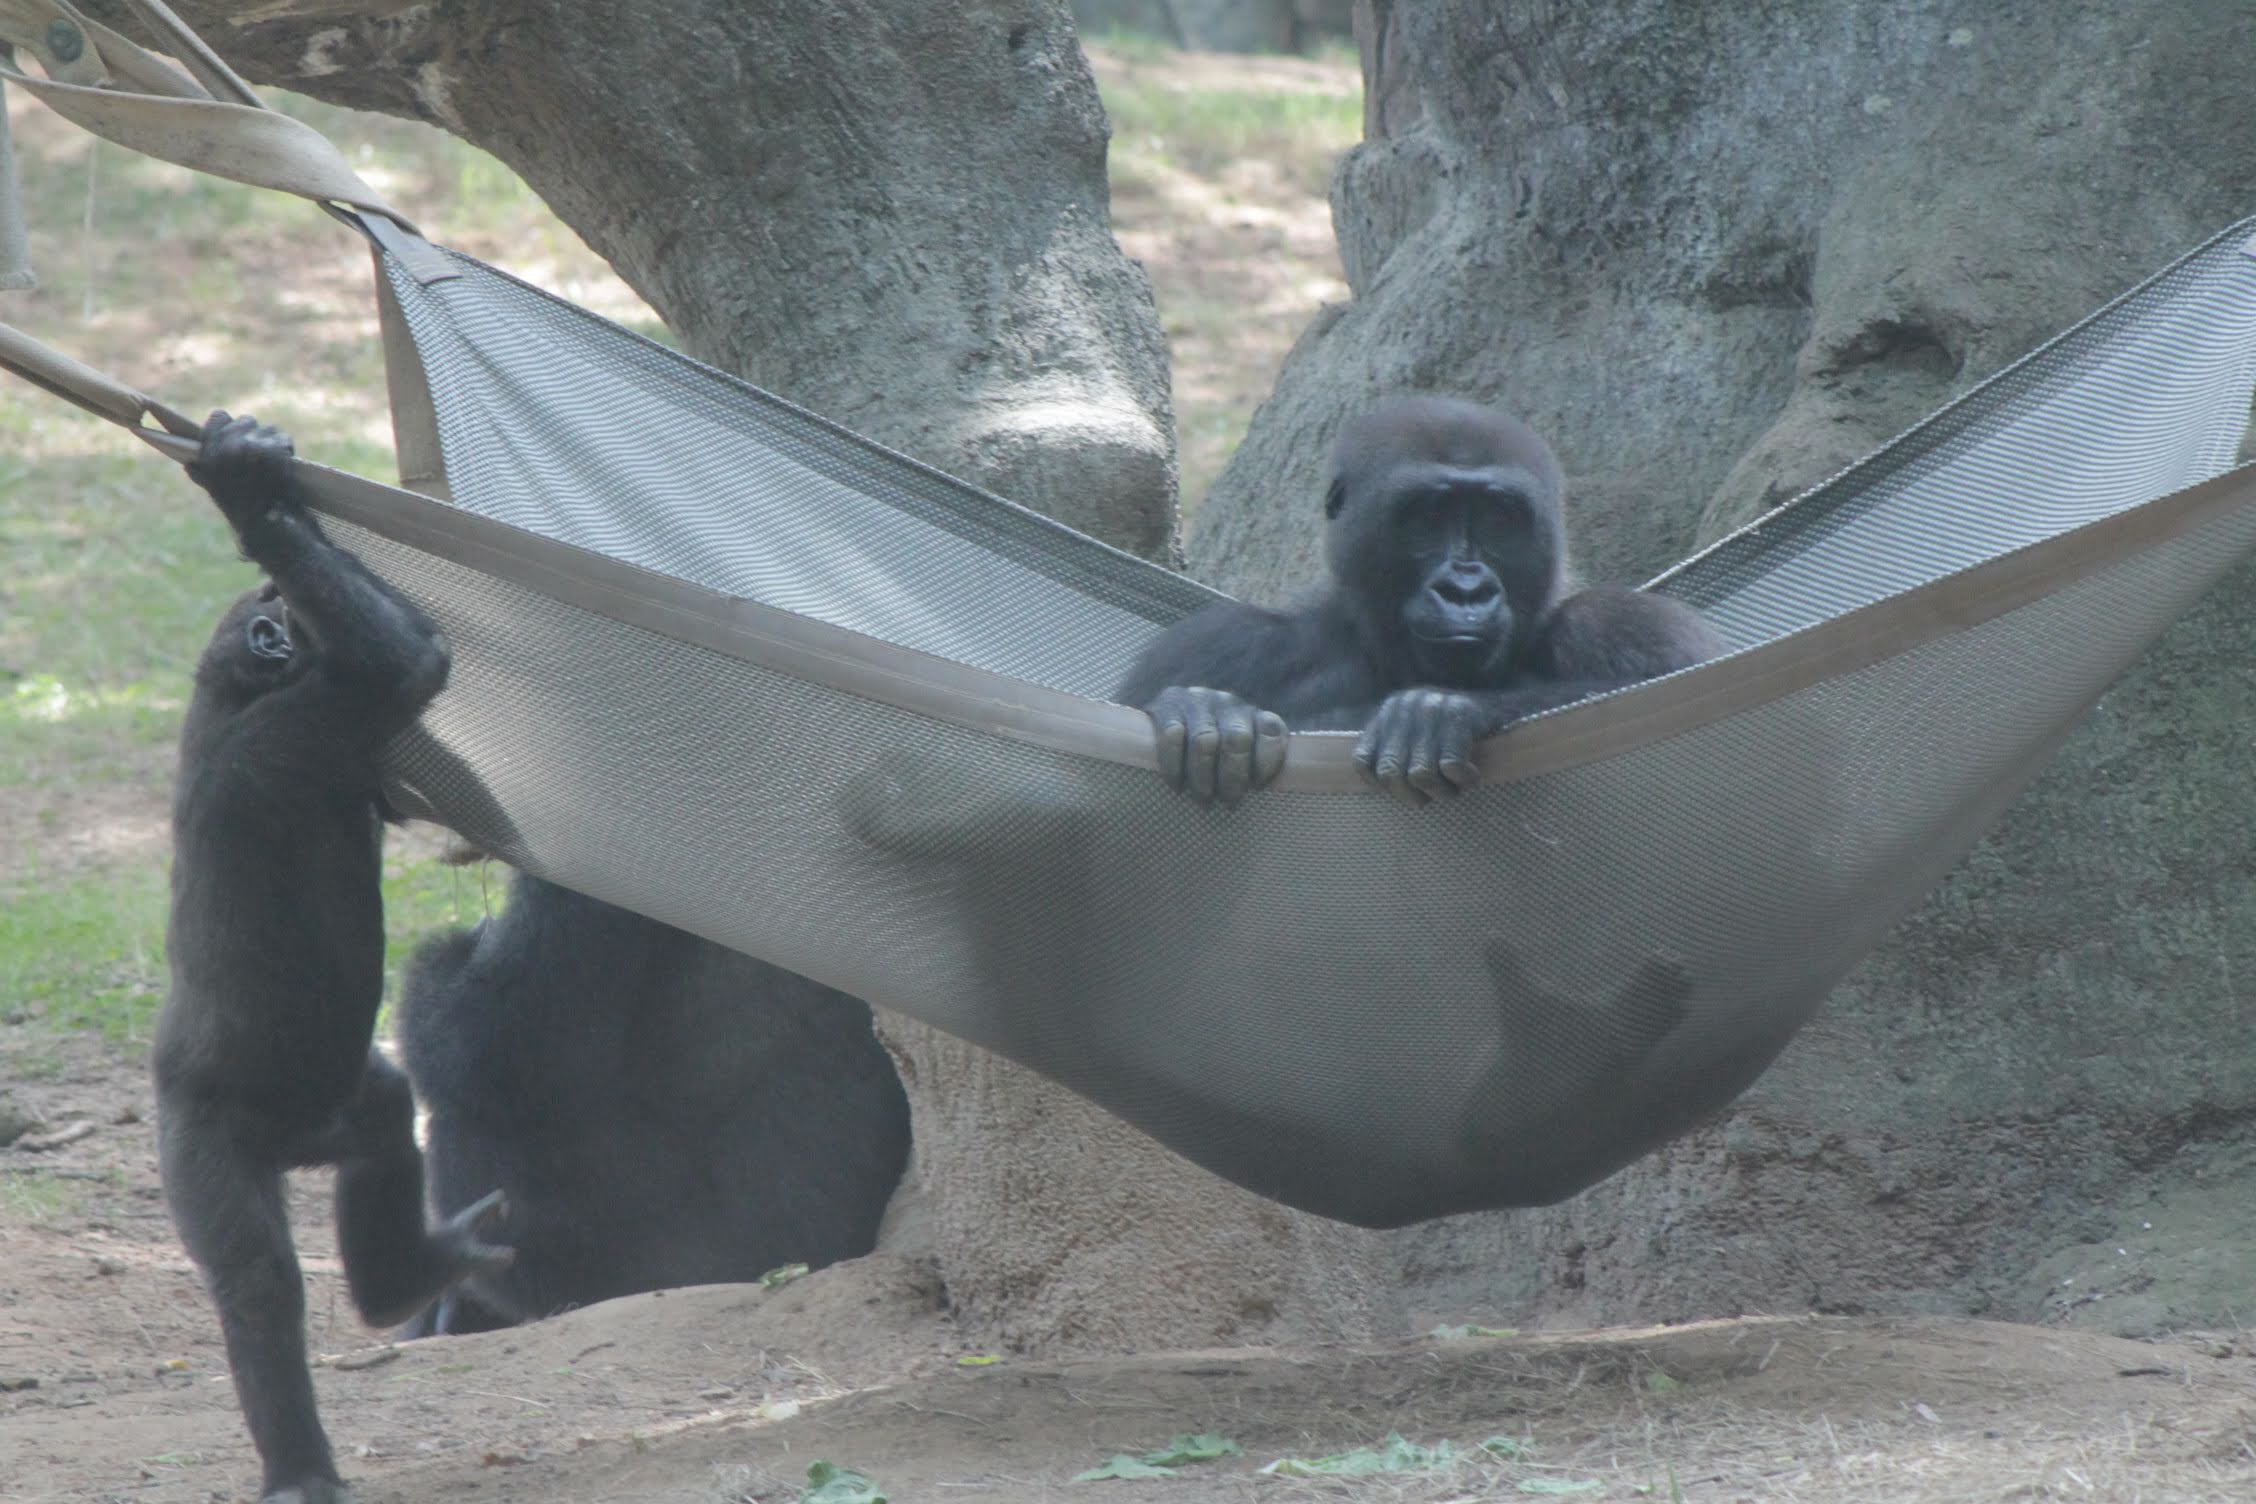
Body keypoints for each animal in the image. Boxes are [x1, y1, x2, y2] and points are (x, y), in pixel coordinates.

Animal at [154, 412, 512, 1504]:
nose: (280, 611)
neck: (228, 691)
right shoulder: (302, 726)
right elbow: (408, 667)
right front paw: (250, 494)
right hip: (204, 1140)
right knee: (258, 1285)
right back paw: (300, 1467)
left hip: (332, 1108)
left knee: (387, 1123)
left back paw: (401, 1280)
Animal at [1118, 396, 1724, 805]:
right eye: (1426, 518)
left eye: (1499, 519)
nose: (1465, 589)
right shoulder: (1223, 644)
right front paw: (1208, 714)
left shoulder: (1624, 622)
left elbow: (1673, 687)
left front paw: (1444, 711)